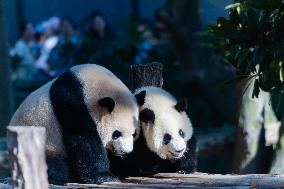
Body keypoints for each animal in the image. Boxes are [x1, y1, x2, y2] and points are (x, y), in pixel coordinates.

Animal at [10, 64, 139, 184]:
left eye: (134, 133)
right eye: (116, 134)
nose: (125, 151)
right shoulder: (72, 104)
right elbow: (84, 140)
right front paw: (104, 175)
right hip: (43, 145)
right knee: (50, 164)